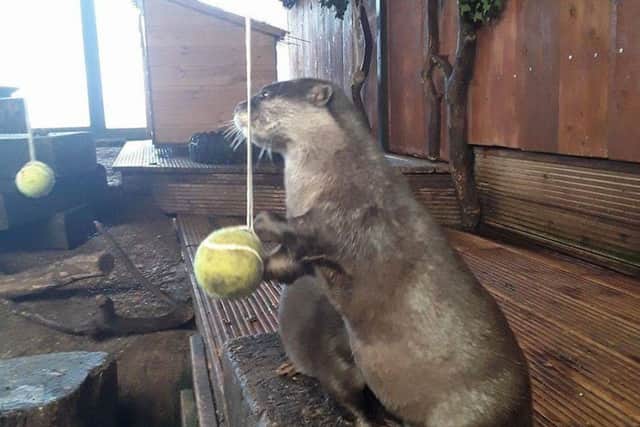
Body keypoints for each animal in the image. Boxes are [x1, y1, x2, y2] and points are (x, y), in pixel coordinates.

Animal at [234, 78, 532, 427]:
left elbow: (315, 231)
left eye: (265, 94)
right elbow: (289, 265)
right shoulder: (307, 255)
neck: (336, 170)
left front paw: (263, 222)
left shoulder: (353, 215)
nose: (238, 106)